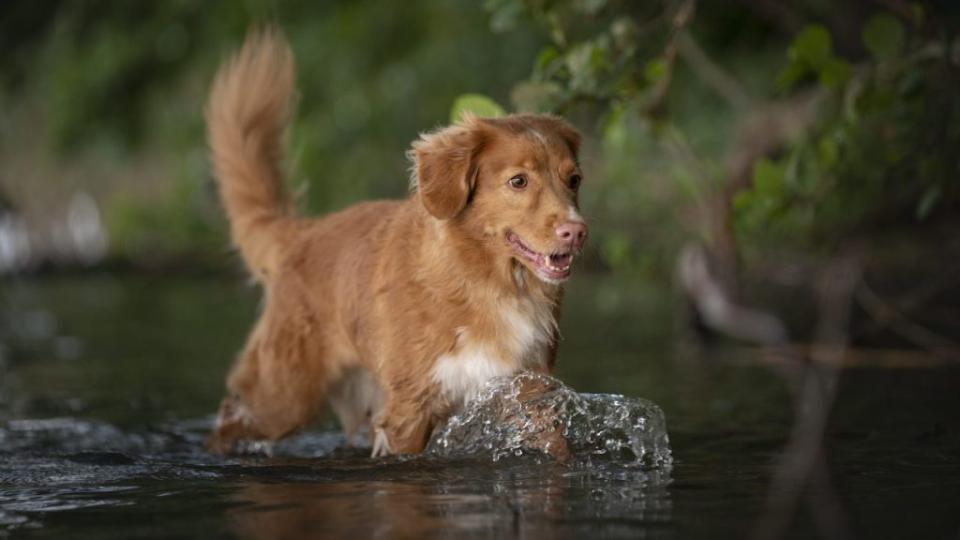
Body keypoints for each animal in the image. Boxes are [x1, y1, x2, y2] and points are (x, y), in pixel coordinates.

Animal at [206, 29, 588, 458]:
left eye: (574, 180)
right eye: (518, 181)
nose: (576, 231)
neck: (488, 282)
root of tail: (303, 232)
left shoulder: (528, 391)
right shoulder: (410, 408)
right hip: (283, 396)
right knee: (228, 419)